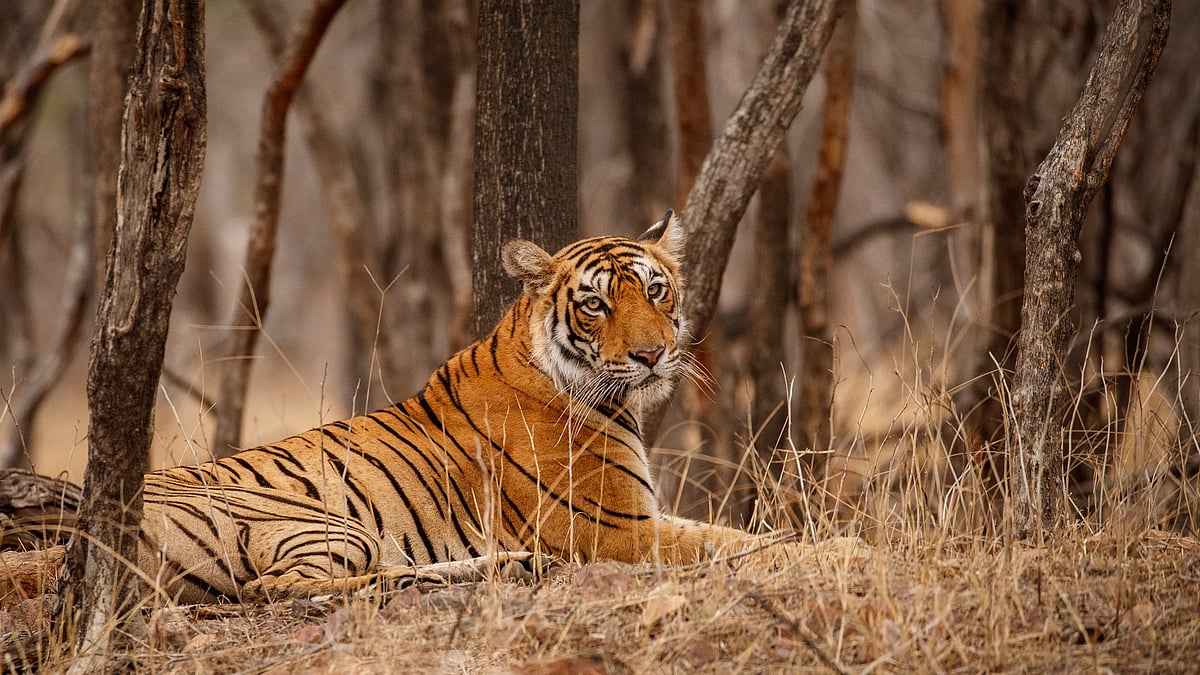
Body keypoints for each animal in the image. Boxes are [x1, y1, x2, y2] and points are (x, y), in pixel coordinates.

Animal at [135, 211, 763, 604]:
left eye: (655, 290)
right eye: (594, 304)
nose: (653, 355)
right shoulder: (615, 530)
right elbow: (733, 541)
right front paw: (790, 552)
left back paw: (507, 567)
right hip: (320, 522)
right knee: (277, 589)